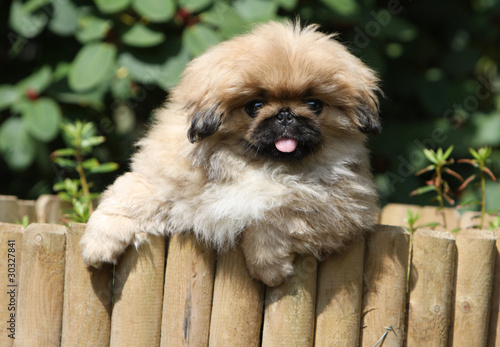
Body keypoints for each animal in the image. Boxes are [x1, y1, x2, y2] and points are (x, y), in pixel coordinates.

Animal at [80, 22, 380, 288]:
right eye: (254, 105)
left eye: (314, 104)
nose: (286, 115)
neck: (254, 165)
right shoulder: (163, 184)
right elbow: (126, 198)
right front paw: (97, 244)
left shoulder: (340, 210)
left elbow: (275, 216)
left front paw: (270, 268)